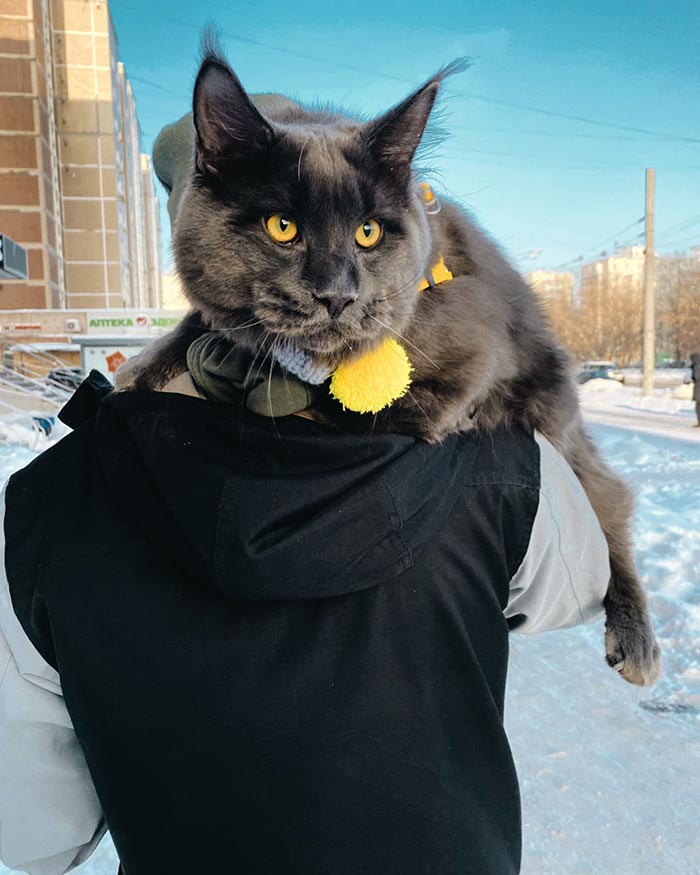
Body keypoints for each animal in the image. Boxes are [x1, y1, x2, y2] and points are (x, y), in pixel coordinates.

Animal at [119, 39, 660, 684]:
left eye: (369, 233)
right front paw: (145, 368)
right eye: (283, 227)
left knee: (611, 503)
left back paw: (636, 641)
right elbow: (205, 326)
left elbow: (340, 406)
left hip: (552, 413)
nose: (337, 295)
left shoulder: (464, 364)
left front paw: (248, 376)